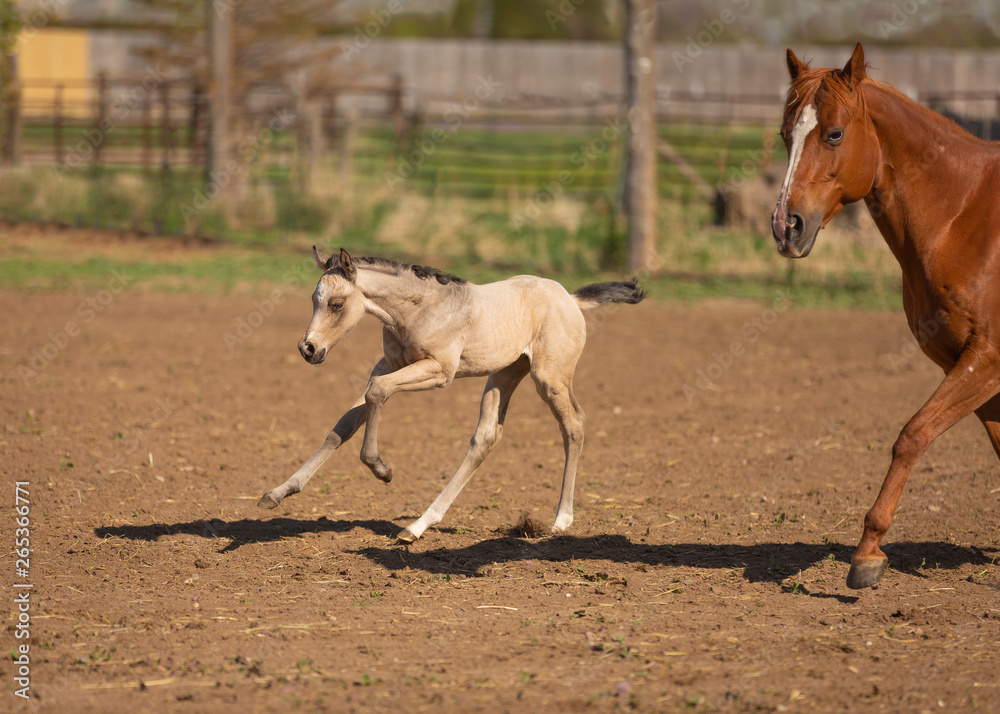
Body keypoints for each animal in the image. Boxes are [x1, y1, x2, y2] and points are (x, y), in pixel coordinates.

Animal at [257, 248, 645, 542]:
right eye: (314, 299)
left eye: (337, 304)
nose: (308, 349)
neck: (418, 309)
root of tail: (570, 298)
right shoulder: (387, 365)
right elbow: (345, 423)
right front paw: (277, 493)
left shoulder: (439, 372)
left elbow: (377, 395)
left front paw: (381, 469)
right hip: (504, 374)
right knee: (485, 438)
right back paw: (418, 525)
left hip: (550, 378)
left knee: (574, 426)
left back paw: (561, 519)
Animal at [772, 42, 1000, 588]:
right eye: (785, 135)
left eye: (834, 134)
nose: (785, 227)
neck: (964, 216)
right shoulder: (969, 367)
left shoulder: (988, 360)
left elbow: (911, 436)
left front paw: (867, 552)